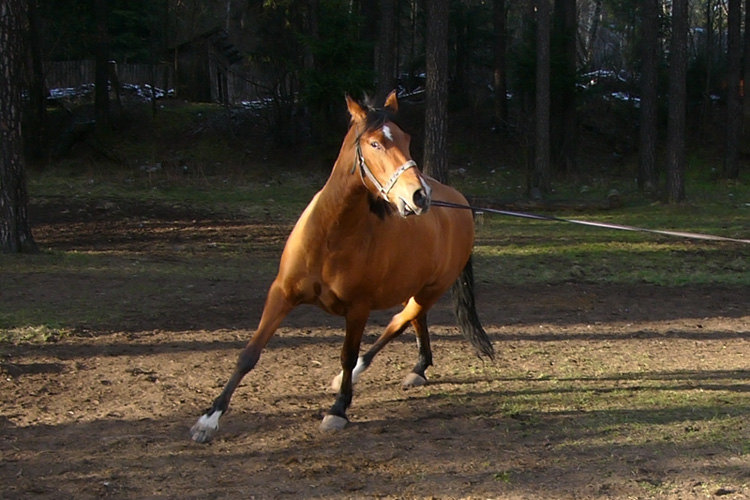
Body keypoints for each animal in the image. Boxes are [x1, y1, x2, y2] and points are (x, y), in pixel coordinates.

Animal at [189, 92, 494, 444]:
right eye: (375, 143)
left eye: (406, 139)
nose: (420, 196)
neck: (329, 236)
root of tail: (460, 203)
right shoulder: (281, 294)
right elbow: (250, 353)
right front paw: (209, 419)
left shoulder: (358, 308)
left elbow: (347, 354)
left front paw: (338, 410)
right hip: (417, 287)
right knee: (415, 320)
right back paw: (418, 369)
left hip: (431, 289)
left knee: (400, 321)